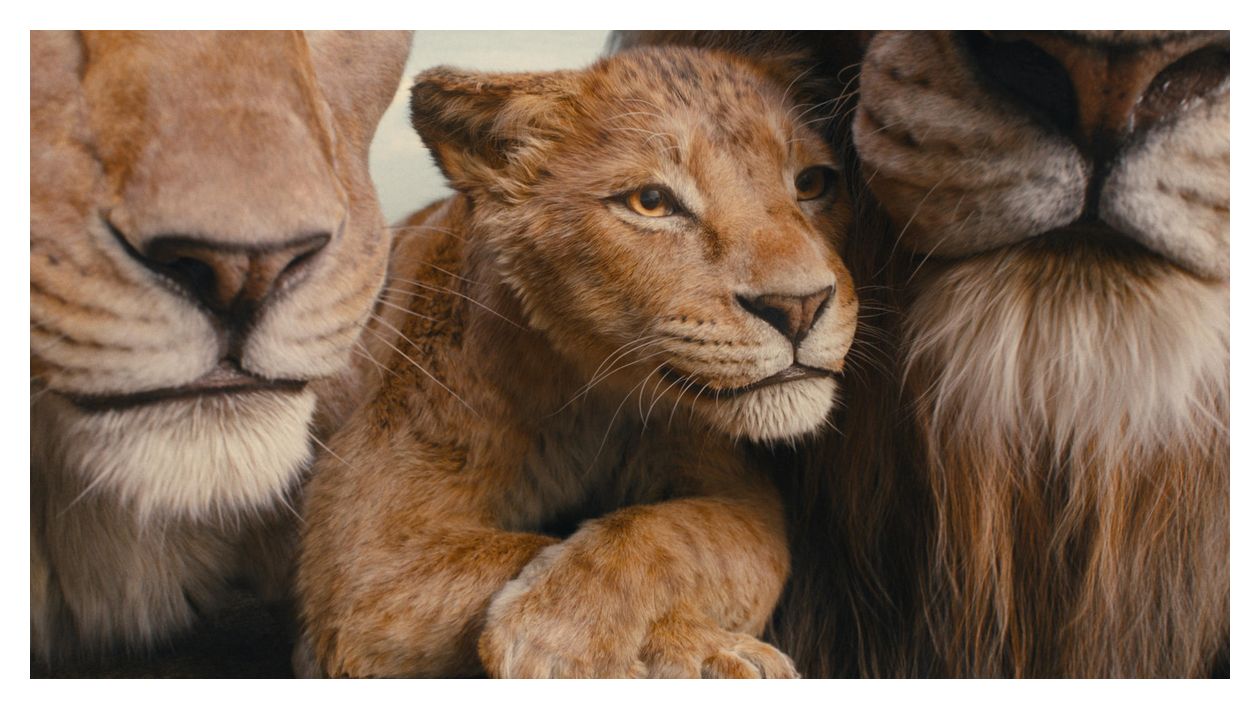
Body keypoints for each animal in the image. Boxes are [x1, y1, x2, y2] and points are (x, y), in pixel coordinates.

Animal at [294, 46, 858, 678]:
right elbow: (514, 550)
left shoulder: (739, 493)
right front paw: (592, 641)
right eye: (651, 202)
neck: (592, 397)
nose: (799, 307)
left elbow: (689, 534)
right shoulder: (365, 552)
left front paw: (563, 624)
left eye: (812, 183)